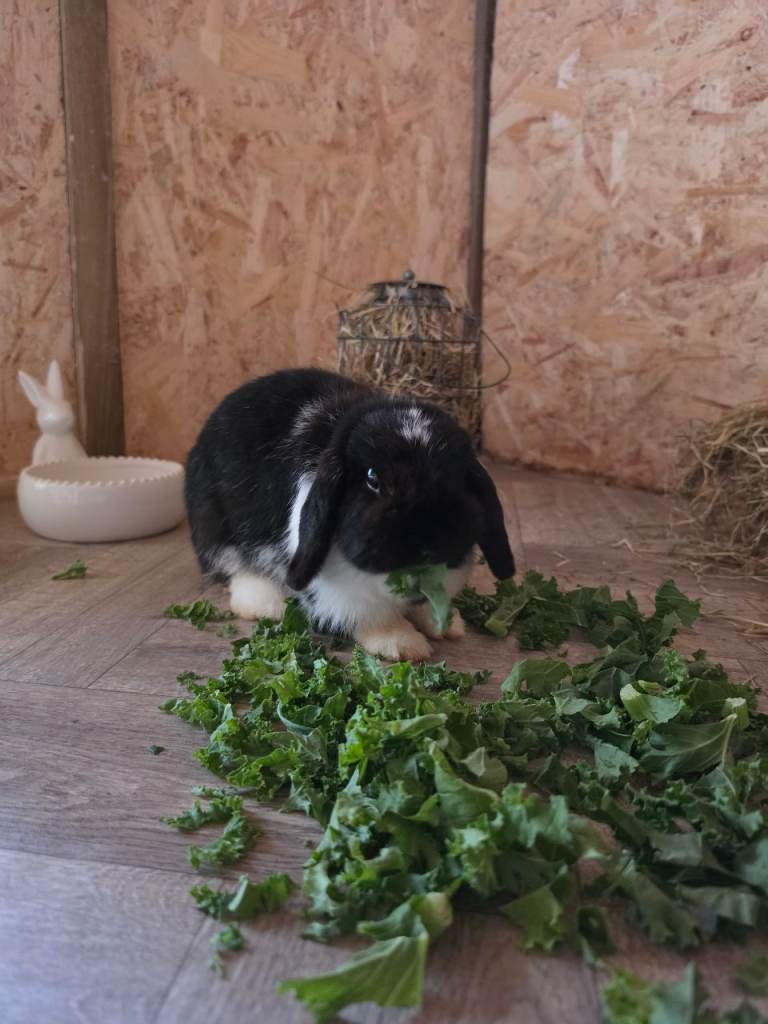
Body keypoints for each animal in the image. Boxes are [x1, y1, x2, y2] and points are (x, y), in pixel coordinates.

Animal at [185, 368, 515, 661]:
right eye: (372, 478)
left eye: (458, 478)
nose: (426, 542)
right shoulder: (335, 586)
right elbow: (370, 613)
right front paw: (402, 644)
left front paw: (446, 624)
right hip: (216, 530)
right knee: (234, 568)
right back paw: (268, 604)